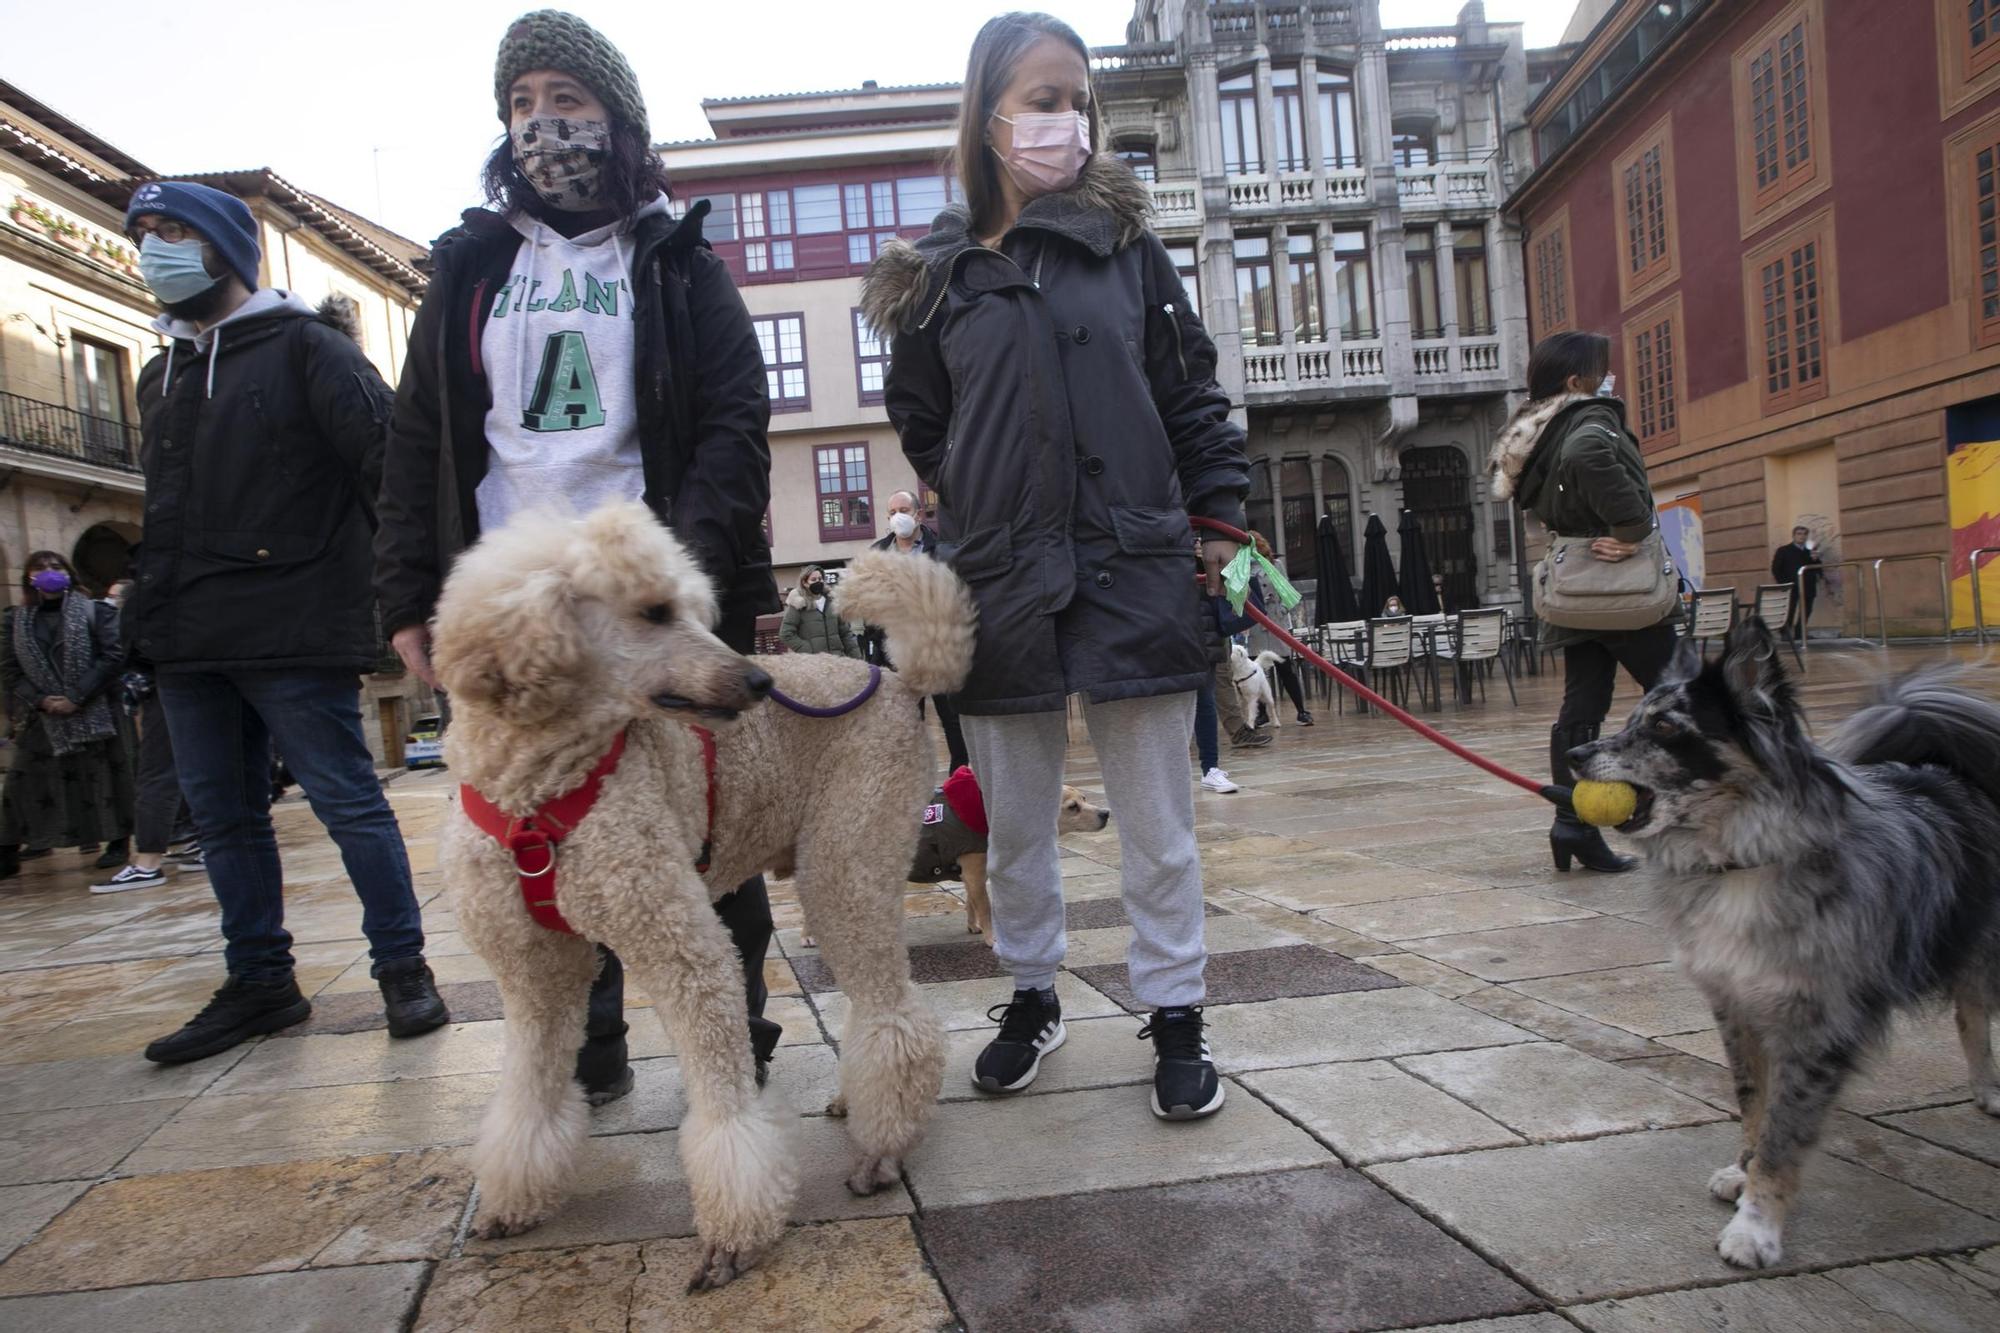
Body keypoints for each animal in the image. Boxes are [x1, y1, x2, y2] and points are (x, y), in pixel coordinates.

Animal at [1568, 620, 2000, 1264]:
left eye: (1665, 726)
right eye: (1631, 717)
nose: (1573, 755)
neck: (1744, 858)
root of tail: (1943, 770)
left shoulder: (1817, 1022)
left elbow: (1784, 1132)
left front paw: (1756, 1226)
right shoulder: (1736, 1004)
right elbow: (1755, 1104)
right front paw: (1745, 1172)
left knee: (1974, 1008)